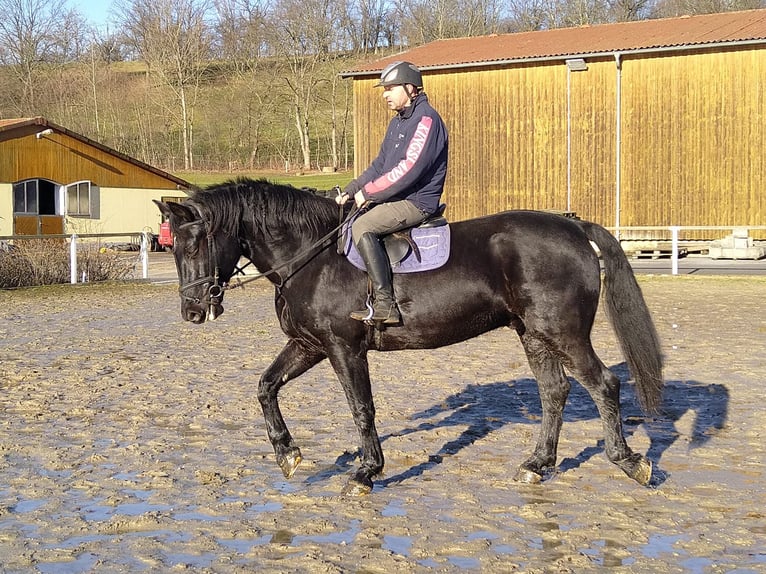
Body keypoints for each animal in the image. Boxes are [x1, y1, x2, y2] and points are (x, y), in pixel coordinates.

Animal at [153, 179, 664, 496]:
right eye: (171, 247)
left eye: (195, 243)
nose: (192, 311)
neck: (310, 258)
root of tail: (572, 225)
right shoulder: (309, 346)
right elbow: (265, 387)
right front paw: (287, 453)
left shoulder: (343, 349)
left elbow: (361, 408)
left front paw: (365, 472)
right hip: (533, 334)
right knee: (554, 391)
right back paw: (537, 465)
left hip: (563, 333)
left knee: (603, 385)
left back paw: (630, 462)